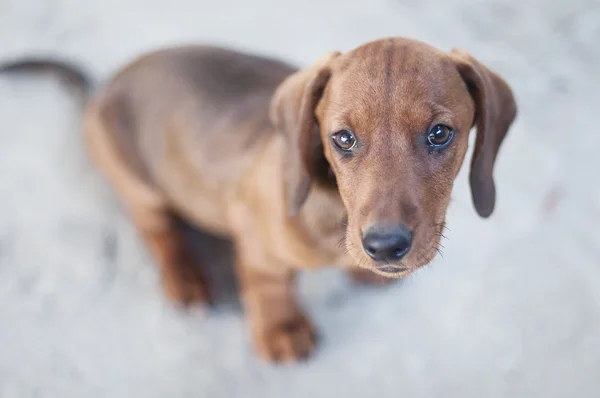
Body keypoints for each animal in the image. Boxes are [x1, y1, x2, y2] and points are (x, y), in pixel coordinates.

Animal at [0, 36, 516, 360]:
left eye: (440, 134)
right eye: (343, 139)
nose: (385, 247)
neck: (334, 213)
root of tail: (101, 87)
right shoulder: (254, 234)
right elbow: (270, 286)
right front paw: (281, 331)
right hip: (135, 181)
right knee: (155, 227)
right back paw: (185, 277)